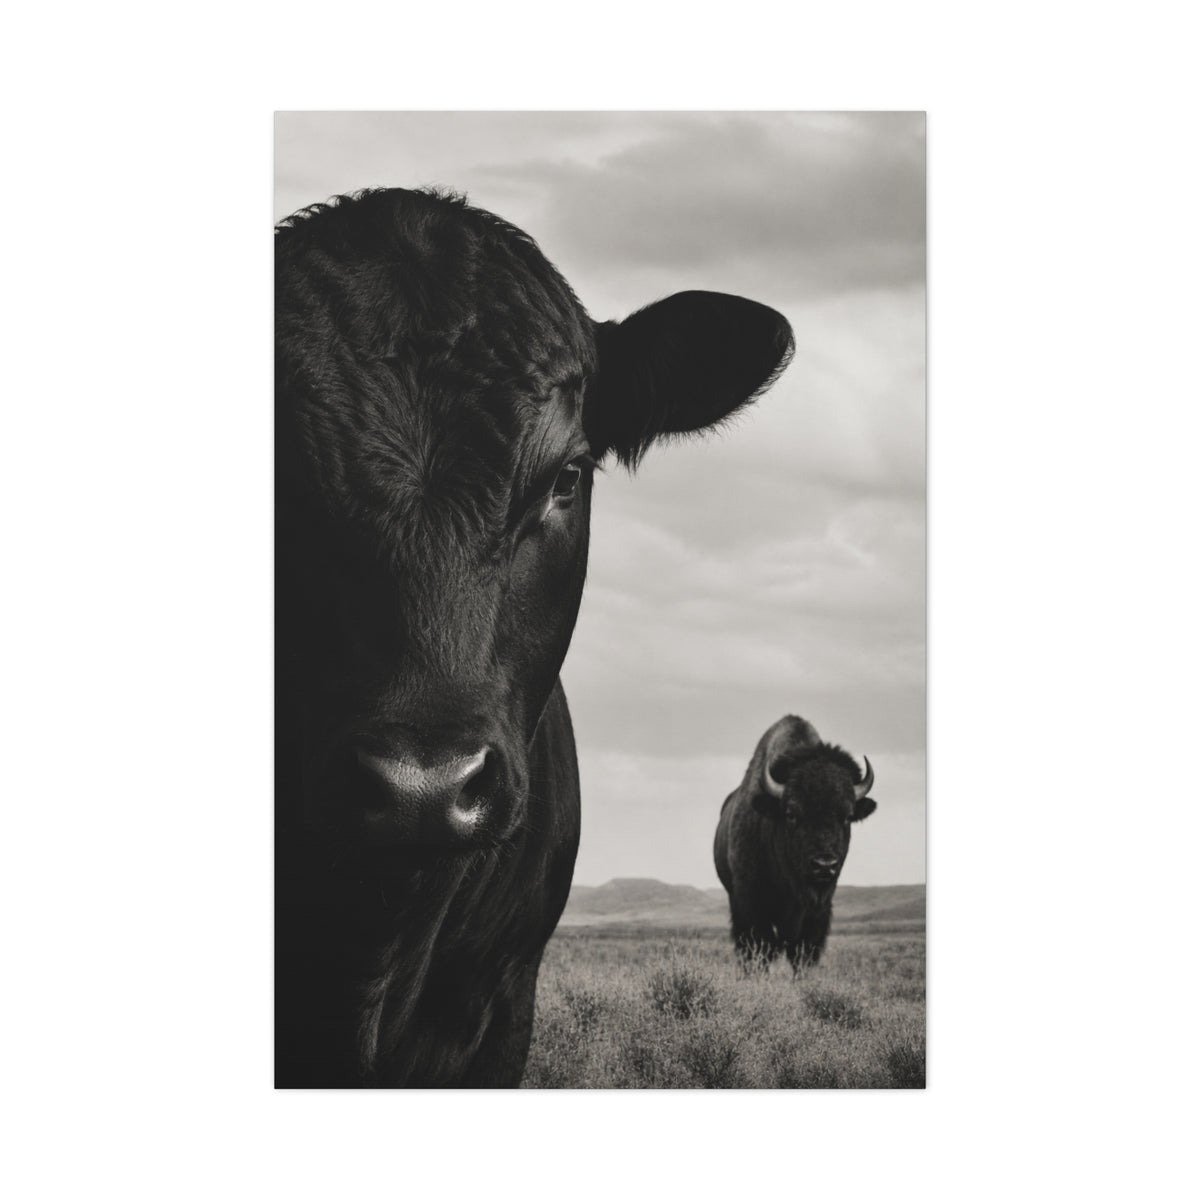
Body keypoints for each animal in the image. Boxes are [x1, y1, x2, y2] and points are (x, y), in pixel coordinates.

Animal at [714, 715, 877, 971]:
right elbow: (761, 948)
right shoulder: (750, 903)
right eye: (791, 814)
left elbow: (803, 953)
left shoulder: (818, 911)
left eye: (847, 816)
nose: (824, 865)